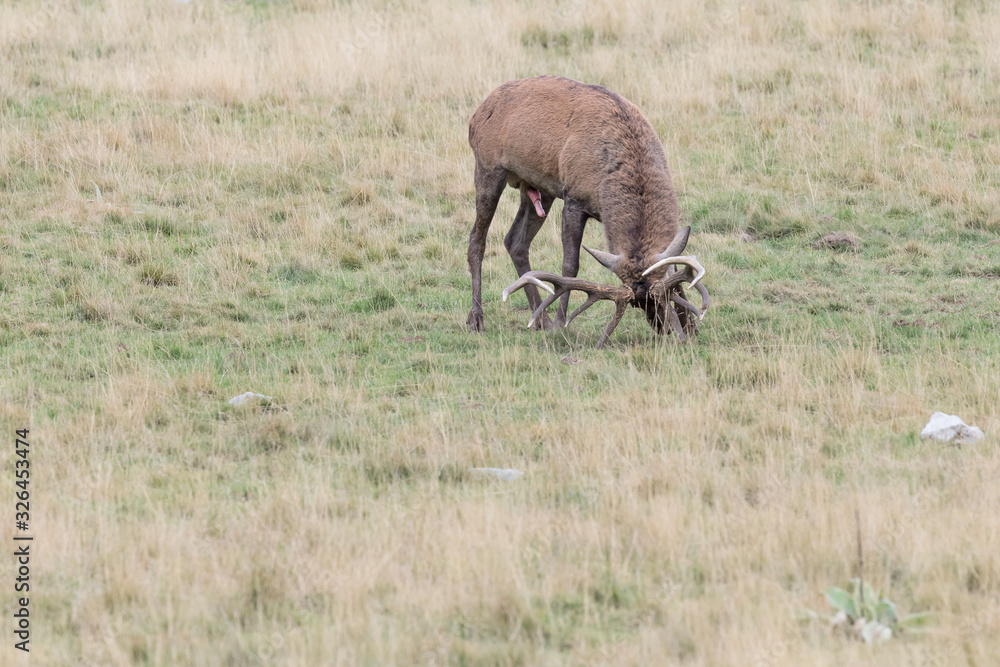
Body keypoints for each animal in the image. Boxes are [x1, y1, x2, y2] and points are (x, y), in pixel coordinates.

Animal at [465, 76, 710, 348]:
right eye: (636, 304)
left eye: (664, 295)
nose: (662, 327)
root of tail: (477, 113)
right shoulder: (574, 198)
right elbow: (570, 265)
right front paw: (561, 323)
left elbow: (674, 264)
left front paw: (690, 324)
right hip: (488, 167)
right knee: (477, 239)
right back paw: (477, 319)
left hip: (538, 188)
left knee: (515, 241)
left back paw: (540, 319)